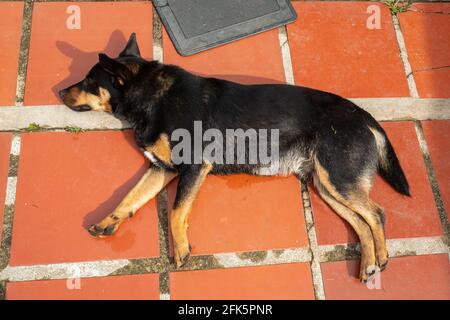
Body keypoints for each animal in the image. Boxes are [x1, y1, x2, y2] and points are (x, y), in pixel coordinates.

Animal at [58, 33, 410, 282]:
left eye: (89, 81)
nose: (59, 92)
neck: (152, 96)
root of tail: (363, 116)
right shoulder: (161, 169)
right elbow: (129, 198)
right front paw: (108, 222)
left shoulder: (192, 167)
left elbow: (176, 211)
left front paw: (181, 247)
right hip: (327, 185)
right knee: (361, 222)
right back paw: (368, 264)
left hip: (338, 179)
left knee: (376, 213)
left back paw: (381, 257)